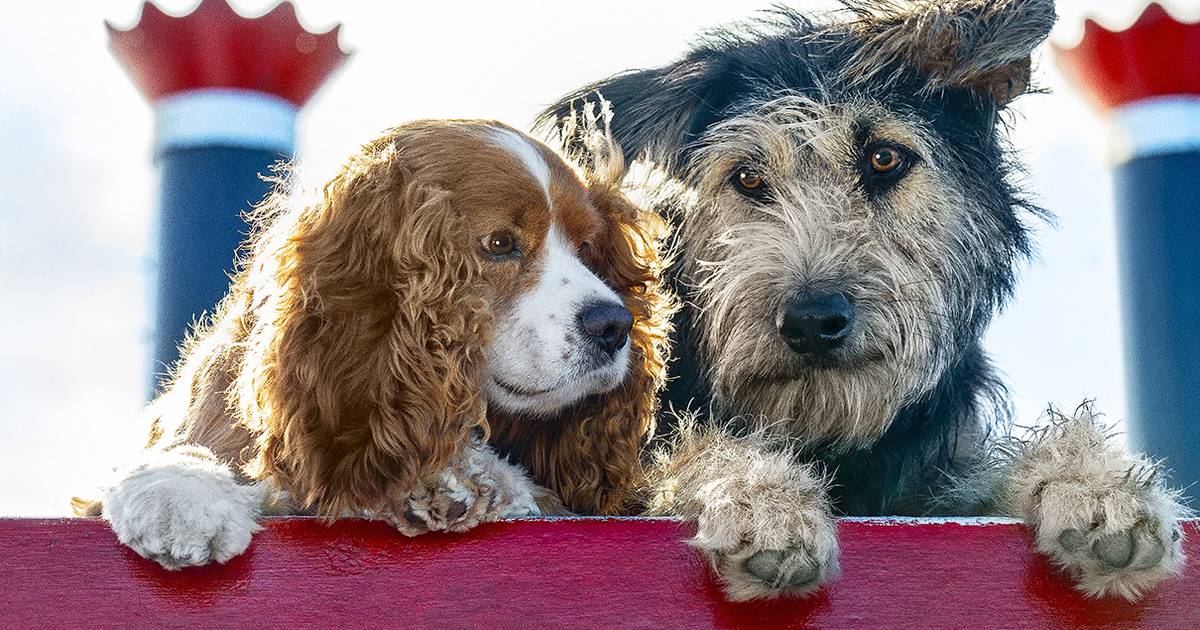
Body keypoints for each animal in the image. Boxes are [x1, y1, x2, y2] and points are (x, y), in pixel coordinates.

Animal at [75, 120, 676, 566]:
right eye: (500, 244)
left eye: (588, 247)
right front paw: (179, 490)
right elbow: (184, 448)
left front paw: (459, 480)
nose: (614, 324)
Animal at [547, 0, 1190, 600]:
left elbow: (985, 474)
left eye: (884, 158)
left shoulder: (930, 484)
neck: (830, 434)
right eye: (748, 178)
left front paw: (1092, 483)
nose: (812, 321)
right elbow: (689, 453)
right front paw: (760, 497)